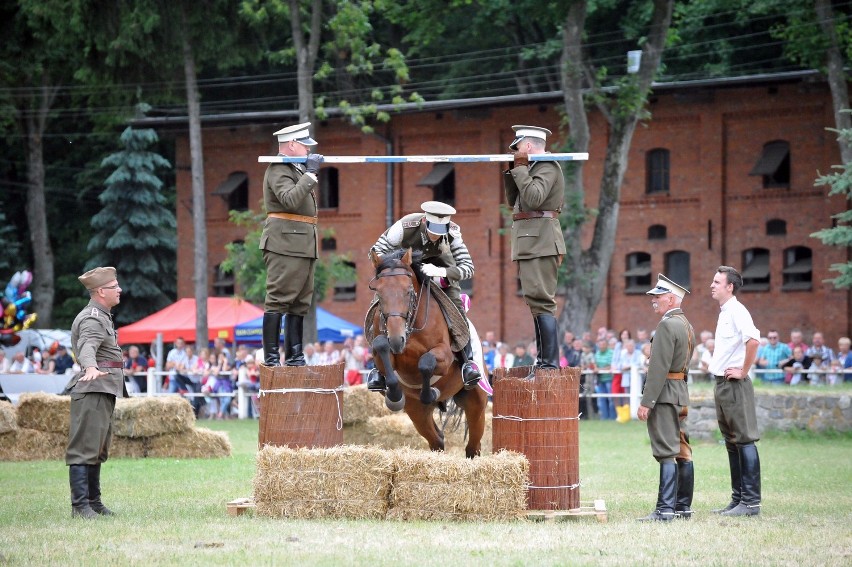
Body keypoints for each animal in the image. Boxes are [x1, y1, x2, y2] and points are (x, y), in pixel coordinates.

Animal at [366, 251, 486, 460]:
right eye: (379, 293)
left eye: (408, 291)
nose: (396, 339)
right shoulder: (384, 351)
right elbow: (381, 347)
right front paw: (394, 396)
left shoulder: (444, 355)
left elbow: (426, 363)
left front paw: (430, 393)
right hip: (417, 412)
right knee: (437, 440)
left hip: (476, 402)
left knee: (473, 445)